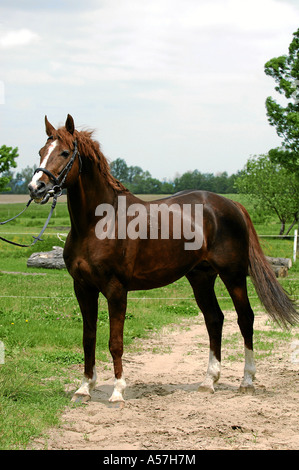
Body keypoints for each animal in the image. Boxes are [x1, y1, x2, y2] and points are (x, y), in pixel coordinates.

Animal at [27, 115, 298, 402]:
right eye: (41, 152)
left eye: (65, 152)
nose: (36, 188)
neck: (98, 223)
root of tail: (232, 205)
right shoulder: (83, 288)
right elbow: (88, 338)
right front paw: (84, 388)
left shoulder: (116, 289)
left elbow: (115, 342)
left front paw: (118, 391)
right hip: (201, 277)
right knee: (214, 319)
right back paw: (209, 381)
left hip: (233, 275)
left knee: (245, 318)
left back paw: (247, 380)